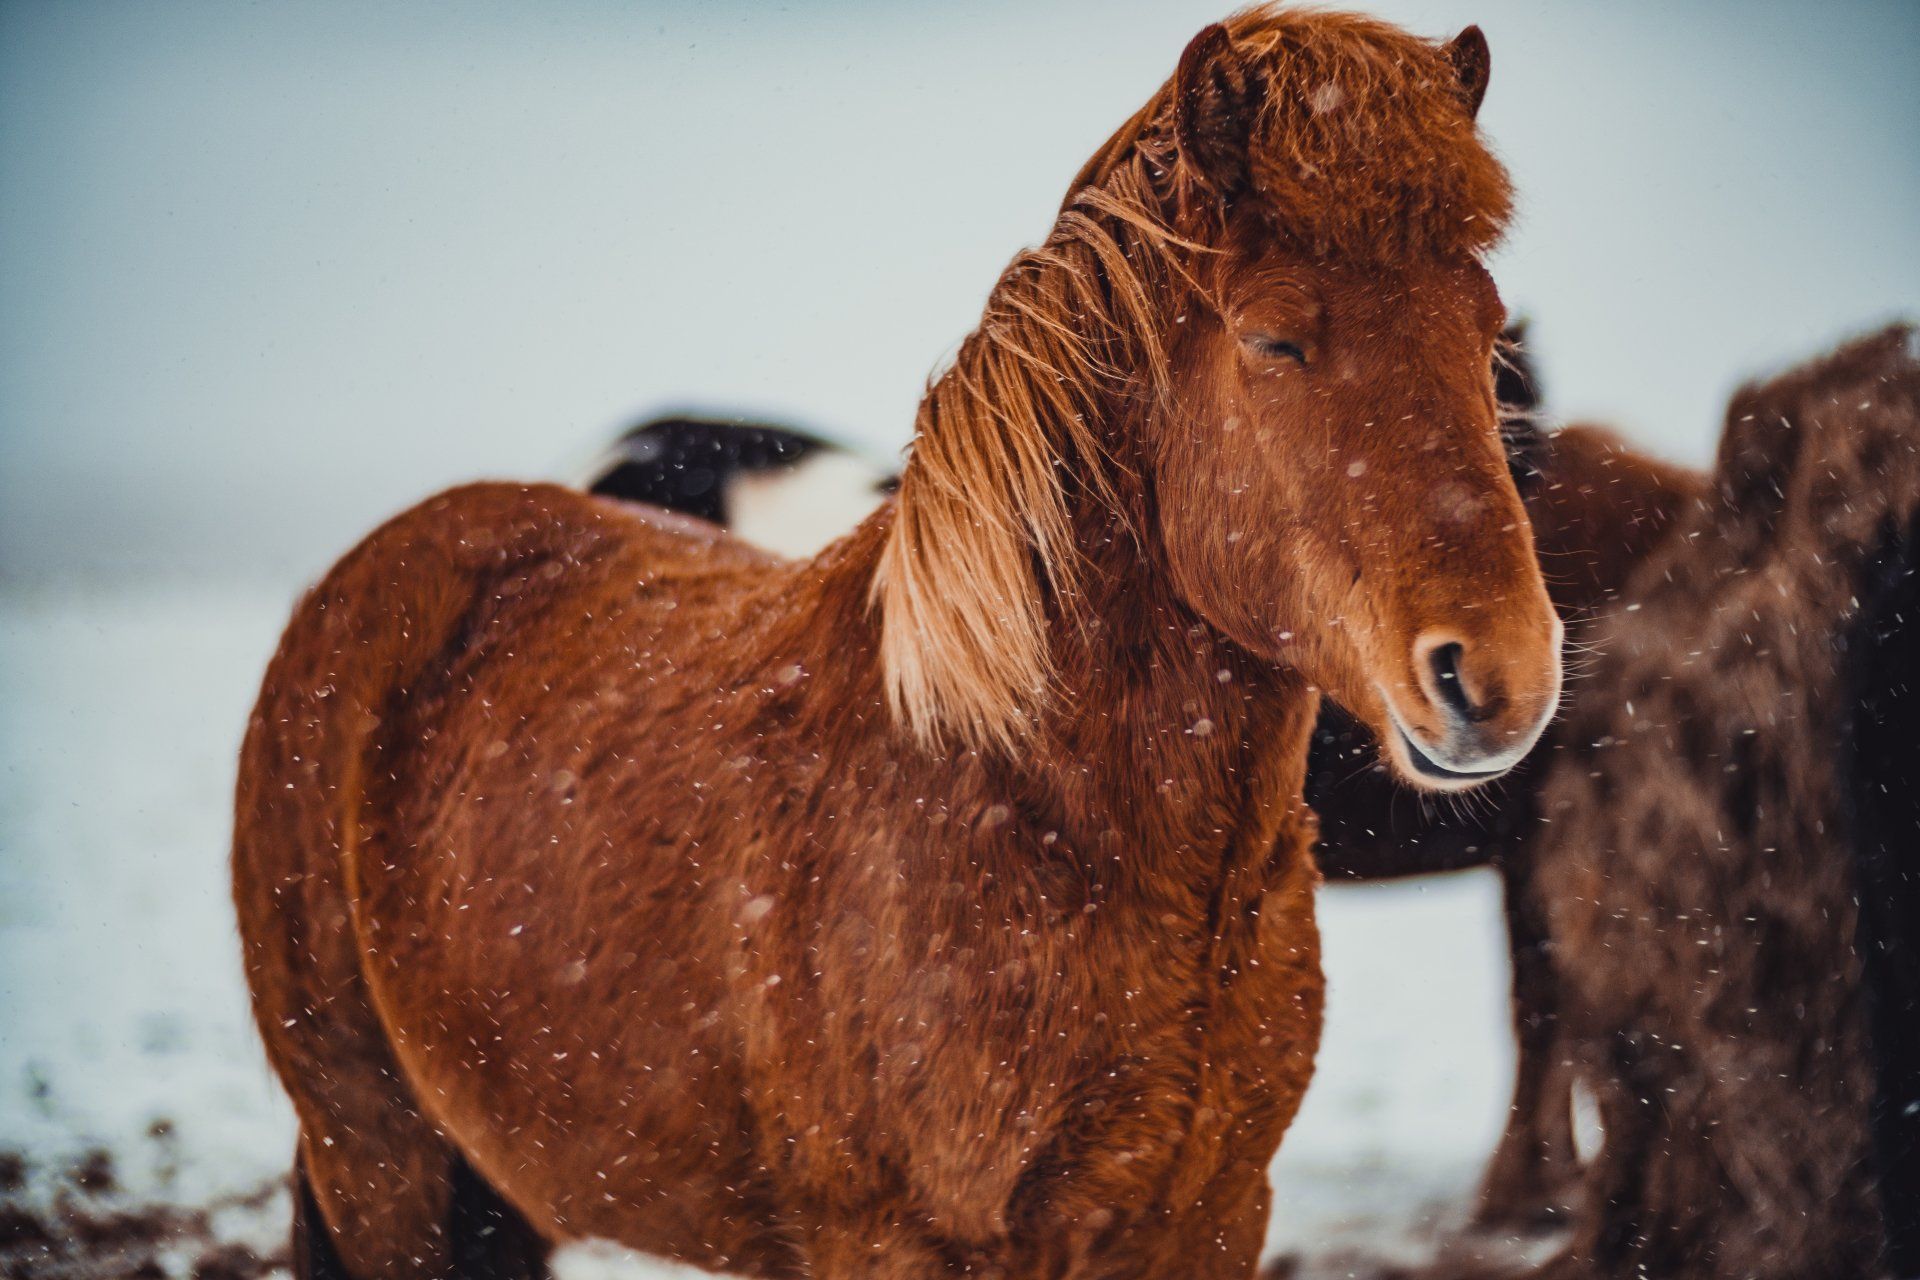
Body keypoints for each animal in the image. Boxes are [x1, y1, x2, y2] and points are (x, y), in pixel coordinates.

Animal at [233, 10, 1561, 1278]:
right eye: (1276, 339)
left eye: (1488, 334)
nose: (1500, 675)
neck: (1018, 798)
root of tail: (366, 578)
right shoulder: (896, 1238)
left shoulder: (1211, 1219)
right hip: (380, 1159)